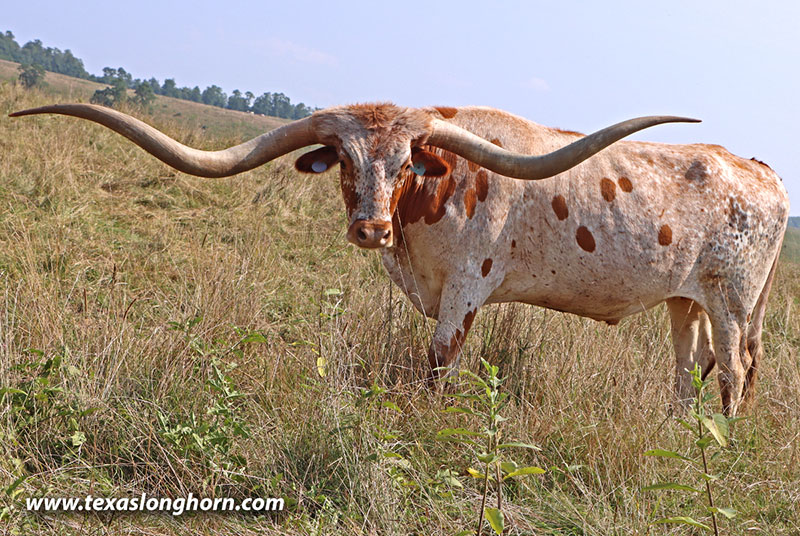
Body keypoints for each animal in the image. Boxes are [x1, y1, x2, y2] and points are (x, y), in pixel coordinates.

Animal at [10, 103, 789, 415]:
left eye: (407, 161)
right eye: (345, 163)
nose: (370, 228)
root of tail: (761, 171)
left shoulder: (466, 290)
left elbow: (438, 361)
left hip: (732, 301)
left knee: (736, 371)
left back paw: (720, 441)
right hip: (686, 301)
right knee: (687, 371)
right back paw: (677, 433)